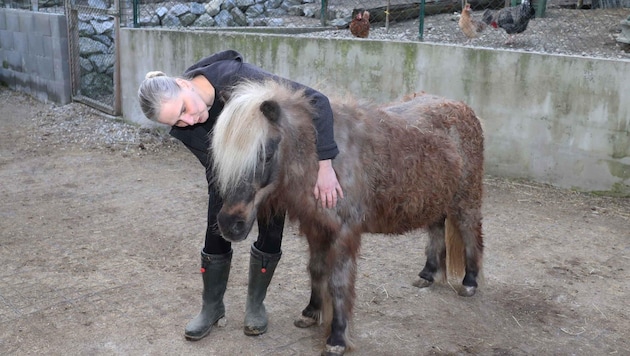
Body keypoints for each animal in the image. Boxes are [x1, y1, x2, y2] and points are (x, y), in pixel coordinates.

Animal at [211, 80, 484, 356]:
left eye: (265, 154)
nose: (230, 224)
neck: (324, 161)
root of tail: (465, 109)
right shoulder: (316, 228)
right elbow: (316, 270)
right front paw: (311, 312)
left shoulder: (343, 234)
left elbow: (338, 284)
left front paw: (337, 339)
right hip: (435, 199)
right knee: (436, 230)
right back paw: (427, 274)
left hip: (465, 200)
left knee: (471, 234)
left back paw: (470, 282)